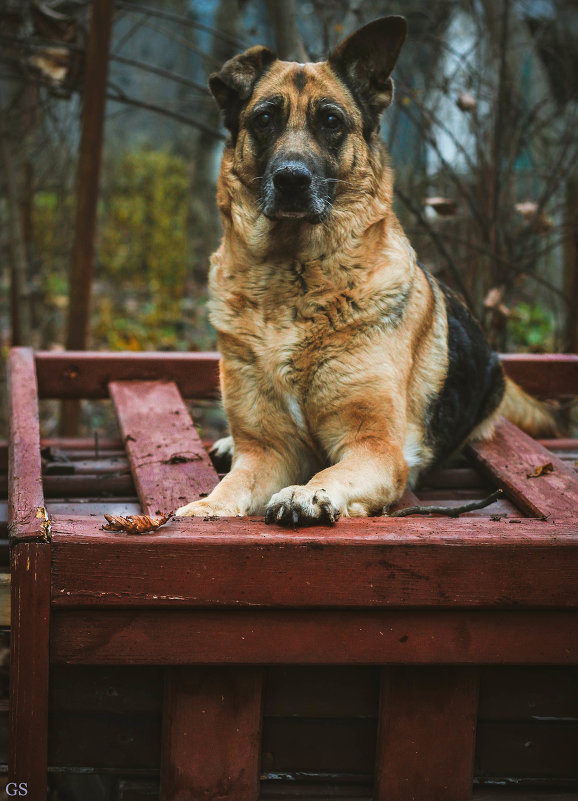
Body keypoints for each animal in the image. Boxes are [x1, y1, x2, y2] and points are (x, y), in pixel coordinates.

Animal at [176, 17, 552, 524]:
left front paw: (306, 493)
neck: (290, 278)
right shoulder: (268, 451)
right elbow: (235, 483)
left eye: (331, 122)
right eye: (264, 119)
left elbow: (331, 472)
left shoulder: (374, 447)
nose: (291, 179)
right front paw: (206, 507)